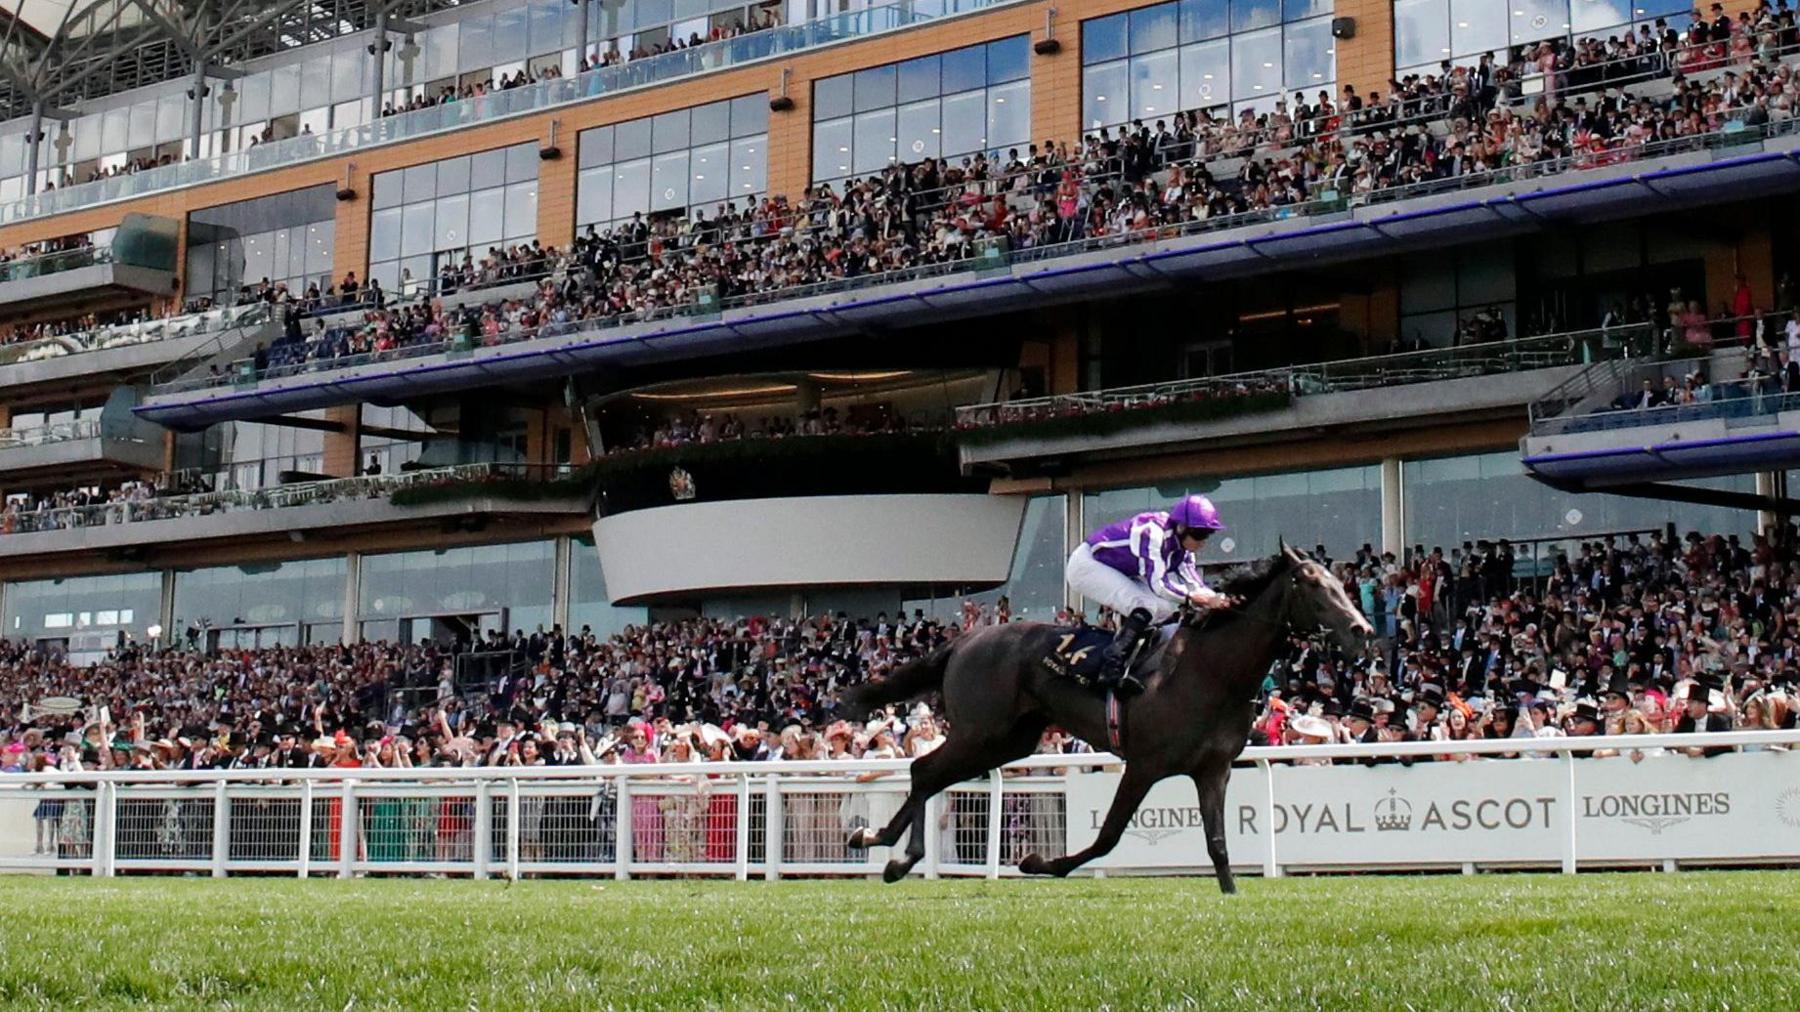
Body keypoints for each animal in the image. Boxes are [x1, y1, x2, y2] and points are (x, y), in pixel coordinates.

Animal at [849, 540, 1368, 885]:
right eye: (1311, 585)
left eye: (1340, 583)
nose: (1361, 631)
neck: (1212, 670)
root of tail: (964, 639)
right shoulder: (1144, 764)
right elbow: (1108, 836)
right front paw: (1039, 862)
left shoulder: (1213, 769)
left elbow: (1218, 845)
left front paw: (1232, 895)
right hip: (981, 731)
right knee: (924, 771)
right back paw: (895, 853)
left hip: (1007, 740)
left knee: (929, 774)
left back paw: (879, 842)